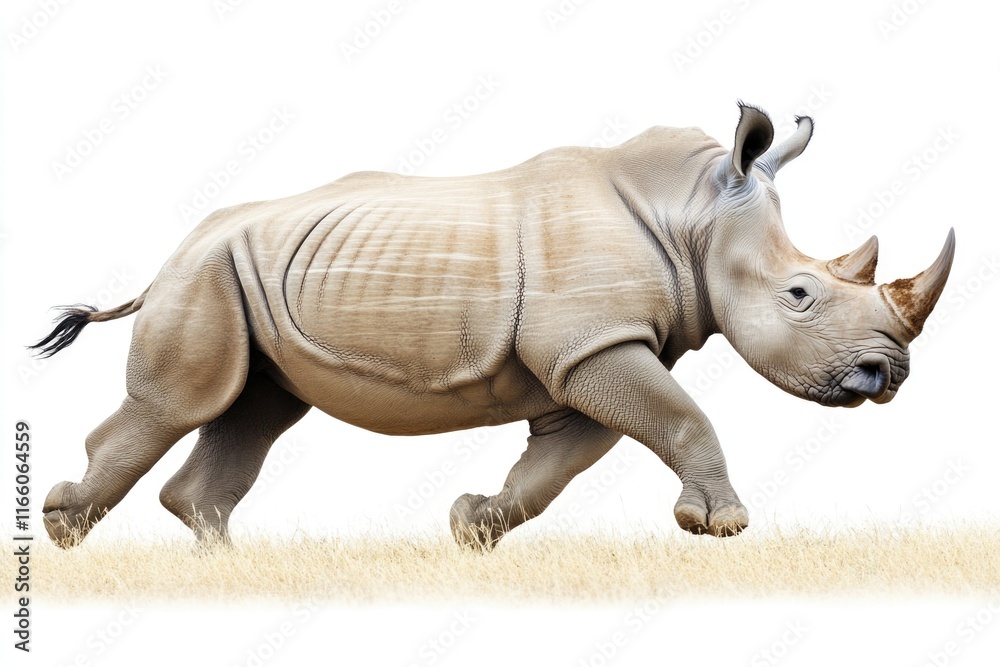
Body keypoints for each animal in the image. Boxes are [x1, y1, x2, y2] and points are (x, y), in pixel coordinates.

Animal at [34, 103, 955, 549]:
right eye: (801, 294)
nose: (888, 376)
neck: (692, 216)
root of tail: (171, 252)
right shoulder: (593, 343)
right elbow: (684, 417)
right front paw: (721, 530)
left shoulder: (590, 352)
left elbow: (562, 461)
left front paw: (471, 526)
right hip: (204, 276)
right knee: (183, 404)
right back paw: (63, 532)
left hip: (242, 277)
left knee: (253, 410)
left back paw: (229, 565)